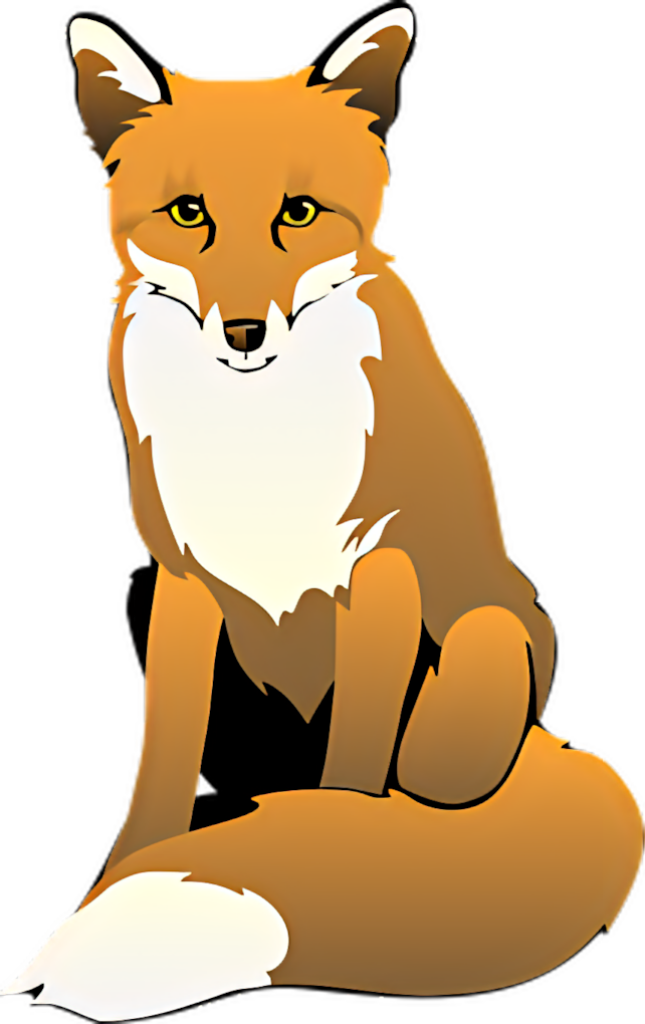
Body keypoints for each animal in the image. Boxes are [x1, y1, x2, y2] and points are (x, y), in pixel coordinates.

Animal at [3, 7, 642, 1019]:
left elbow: (348, 782)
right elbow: (164, 772)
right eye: (188, 215)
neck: (259, 443)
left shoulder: (378, 573)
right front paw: (114, 883)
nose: (244, 333)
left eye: (297, 214)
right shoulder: (181, 580)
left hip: (474, 668)